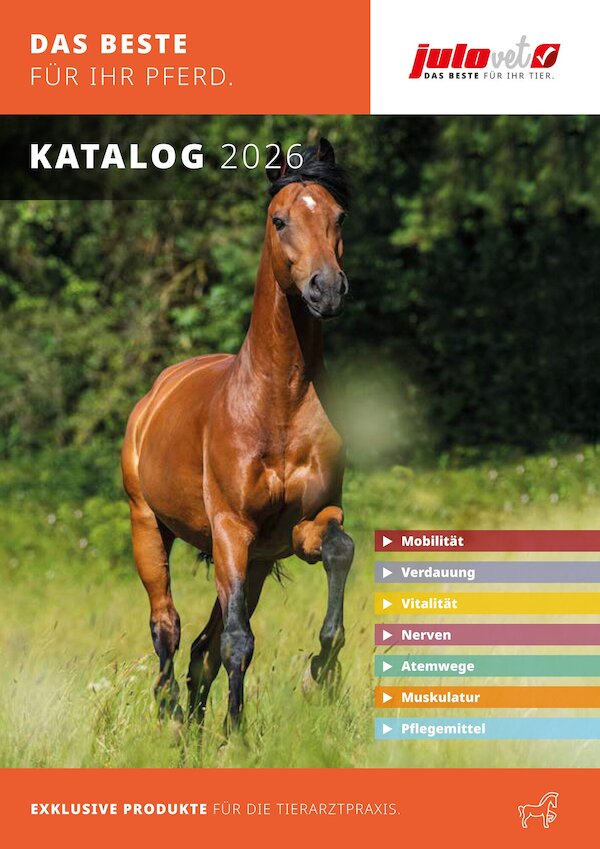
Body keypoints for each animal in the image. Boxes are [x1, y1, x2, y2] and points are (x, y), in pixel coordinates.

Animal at [121, 138, 354, 733]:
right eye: (280, 219)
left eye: (339, 216)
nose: (326, 290)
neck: (278, 404)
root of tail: (155, 394)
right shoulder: (231, 529)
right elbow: (236, 643)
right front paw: (237, 735)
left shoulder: (302, 527)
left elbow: (339, 551)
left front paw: (319, 671)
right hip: (150, 527)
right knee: (169, 627)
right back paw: (173, 719)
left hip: (255, 565)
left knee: (201, 648)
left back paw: (195, 723)